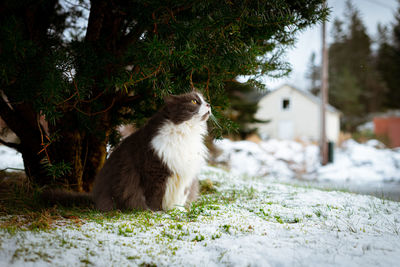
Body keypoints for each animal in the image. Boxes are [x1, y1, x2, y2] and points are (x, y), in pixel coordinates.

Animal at [43, 91, 211, 213]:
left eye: (203, 100)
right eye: (194, 101)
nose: (209, 104)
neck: (186, 134)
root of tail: (95, 196)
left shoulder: (186, 175)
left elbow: (181, 197)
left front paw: (178, 211)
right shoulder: (155, 171)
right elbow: (155, 197)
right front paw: (156, 212)